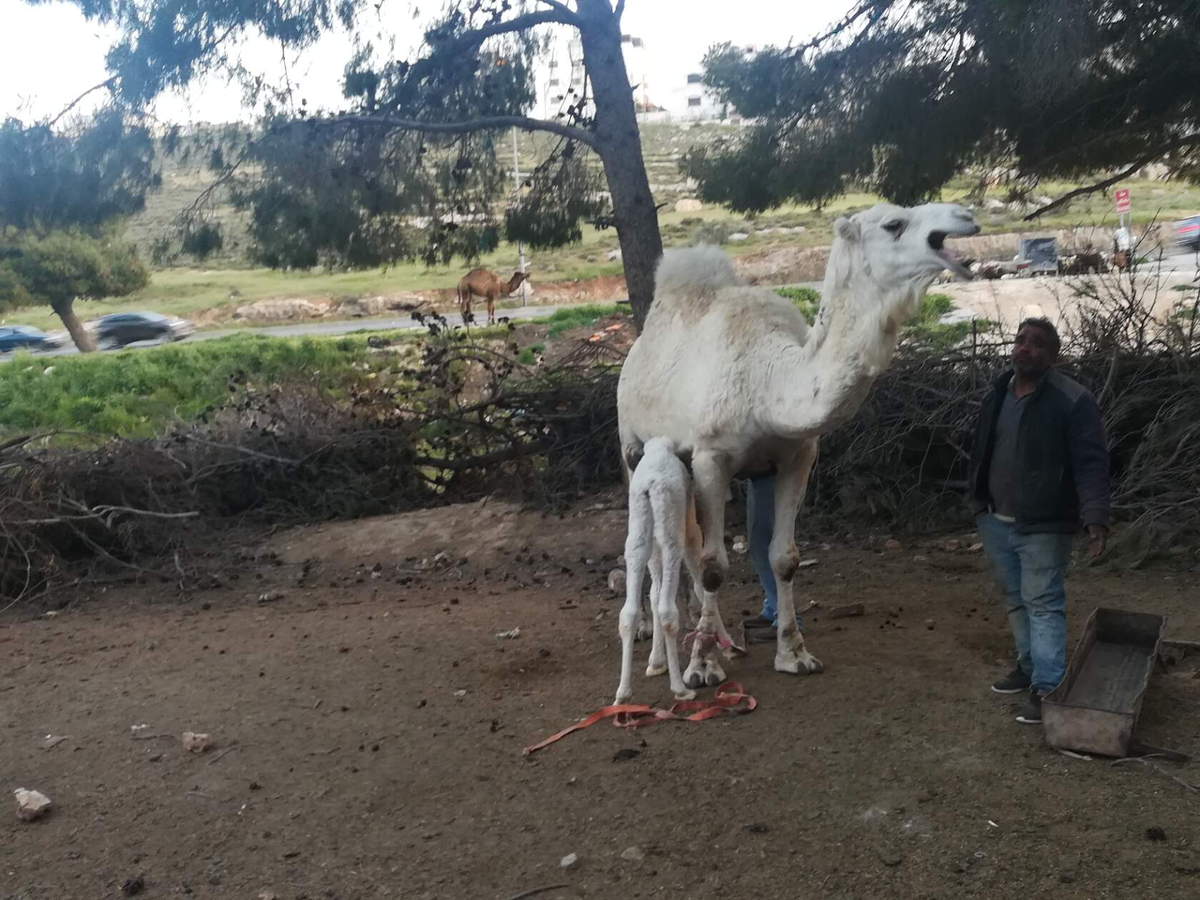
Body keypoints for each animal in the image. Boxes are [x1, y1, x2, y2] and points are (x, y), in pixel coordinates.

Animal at [624, 202, 979, 681]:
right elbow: (715, 565)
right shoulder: (711, 457)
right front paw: (701, 666)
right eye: (893, 224)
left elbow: (783, 556)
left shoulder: (798, 454)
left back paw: (720, 636)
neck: (766, 380)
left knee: (689, 543)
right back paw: (658, 642)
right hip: (632, 447)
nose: (965, 214)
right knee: (658, 544)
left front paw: (794, 653)